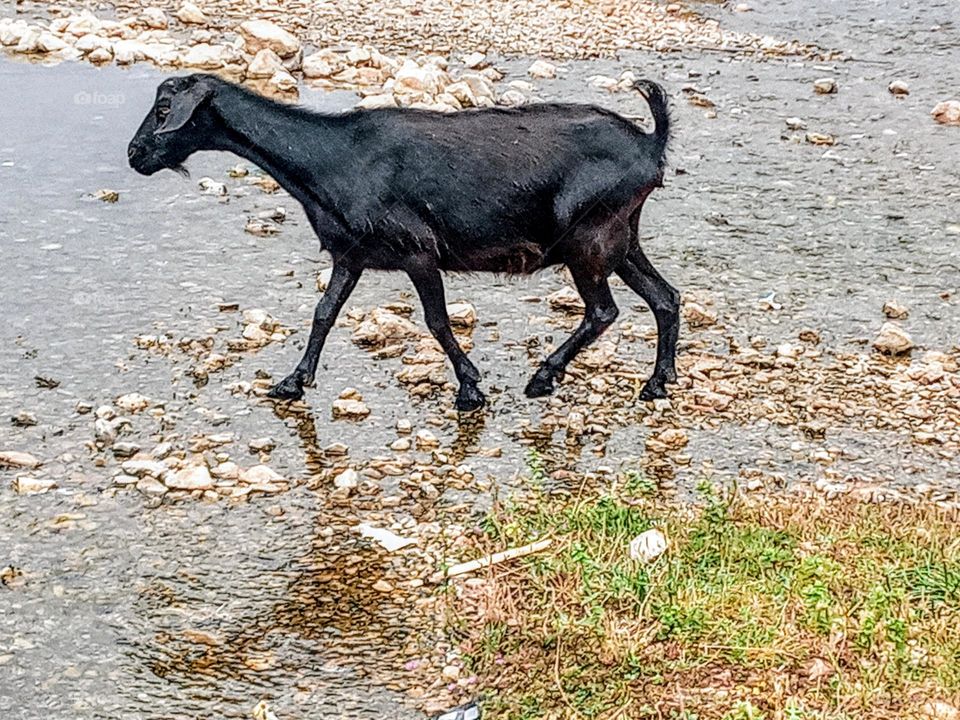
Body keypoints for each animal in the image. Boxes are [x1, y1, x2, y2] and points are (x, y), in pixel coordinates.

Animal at [128, 73, 679, 411]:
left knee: (603, 311)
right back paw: (657, 382)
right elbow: (323, 314)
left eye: (164, 108)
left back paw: (543, 377)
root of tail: (651, 143)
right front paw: (292, 381)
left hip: (589, 237)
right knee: (665, 297)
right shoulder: (350, 255)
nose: (135, 155)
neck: (334, 156)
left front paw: (470, 388)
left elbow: (436, 321)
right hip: (621, 237)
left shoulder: (419, 252)